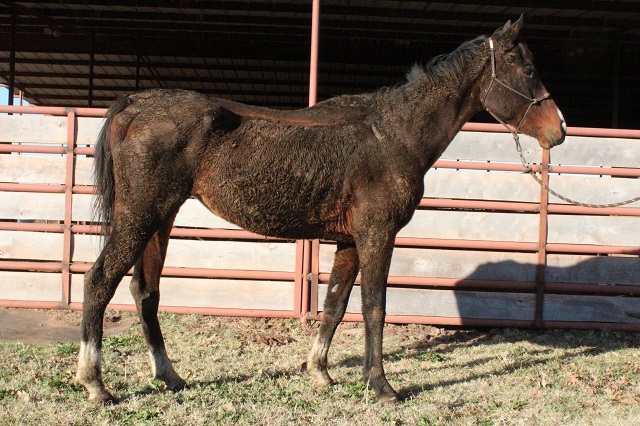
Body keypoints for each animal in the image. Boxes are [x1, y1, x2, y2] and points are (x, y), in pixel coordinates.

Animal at [74, 17, 564, 402]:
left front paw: (321, 372)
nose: (558, 130)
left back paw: (170, 376)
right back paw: (96, 384)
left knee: (146, 292)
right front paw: (381, 386)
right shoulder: (377, 235)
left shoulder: (349, 241)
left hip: (160, 218)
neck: (393, 133)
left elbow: (335, 304)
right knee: (100, 280)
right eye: (528, 69)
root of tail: (134, 104)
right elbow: (374, 306)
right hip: (140, 216)